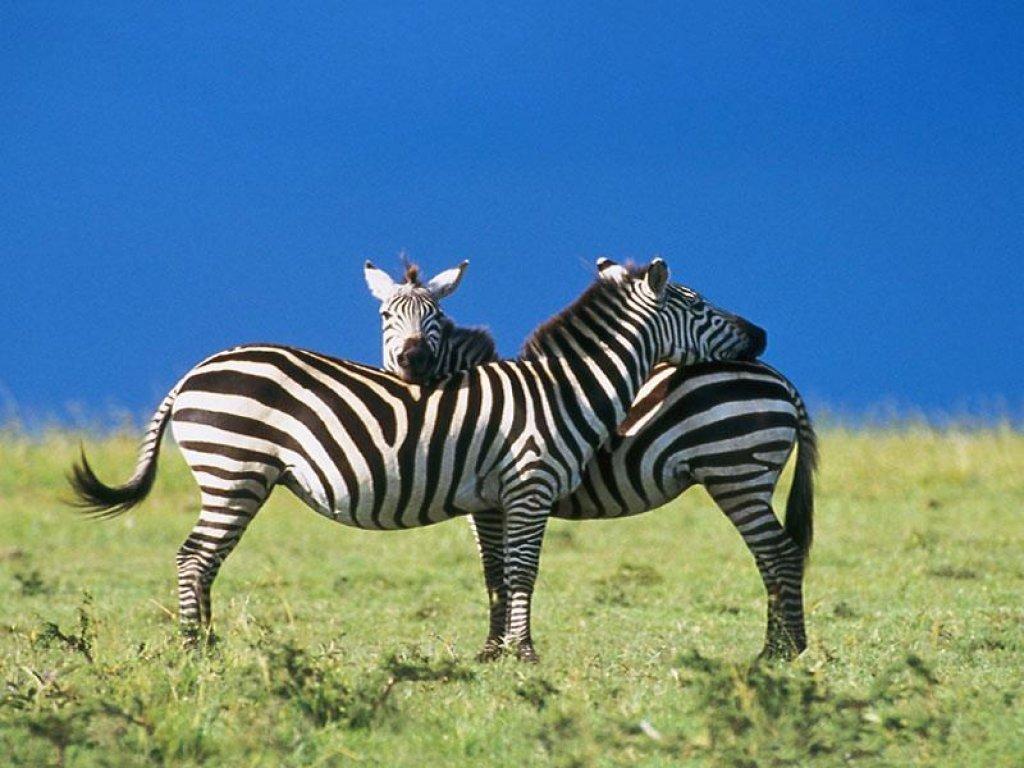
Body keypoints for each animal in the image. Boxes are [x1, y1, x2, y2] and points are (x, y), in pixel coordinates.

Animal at [69, 258, 766, 660]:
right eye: (699, 305)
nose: (761, 336)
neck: (560, 389)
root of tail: (193, 372)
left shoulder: (495, 496)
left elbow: (500, 574)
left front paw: (500, 654)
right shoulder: (529, 484)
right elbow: (522, 573)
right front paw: (526, 656)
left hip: (238, 476)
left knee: (204, 560)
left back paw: (207, 644)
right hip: (233, 468)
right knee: (193, 557)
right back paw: (195, 650)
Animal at [370, 260, 815, 659]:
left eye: (437, 317)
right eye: (386, 316)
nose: (414, 362)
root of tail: (781, 379)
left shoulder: (497, 500)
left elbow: (502, 569)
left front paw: (499, 649)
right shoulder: (494, 501)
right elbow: (496, 569)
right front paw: (495, 649)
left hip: (737, 473)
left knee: (779, 553)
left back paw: (780, 651)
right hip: (743, 479)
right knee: (771, 557)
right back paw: (780, 646)